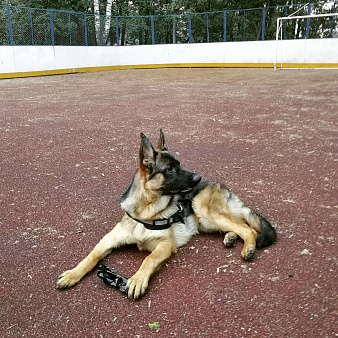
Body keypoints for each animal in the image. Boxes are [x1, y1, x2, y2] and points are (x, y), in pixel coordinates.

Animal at [56, 131, 276, 300]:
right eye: (170, 168)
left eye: (179, 164)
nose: (198, 177)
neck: (146, 212)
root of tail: (219, 185)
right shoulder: (109, 239)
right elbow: (92, 256)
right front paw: (72, 274)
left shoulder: (165, 245)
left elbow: (149, 258)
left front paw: (137, 279)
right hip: (206, 221)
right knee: (237, 225)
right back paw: (230, 237)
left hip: (203, 210)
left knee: (247, 228)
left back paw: (248, 247)